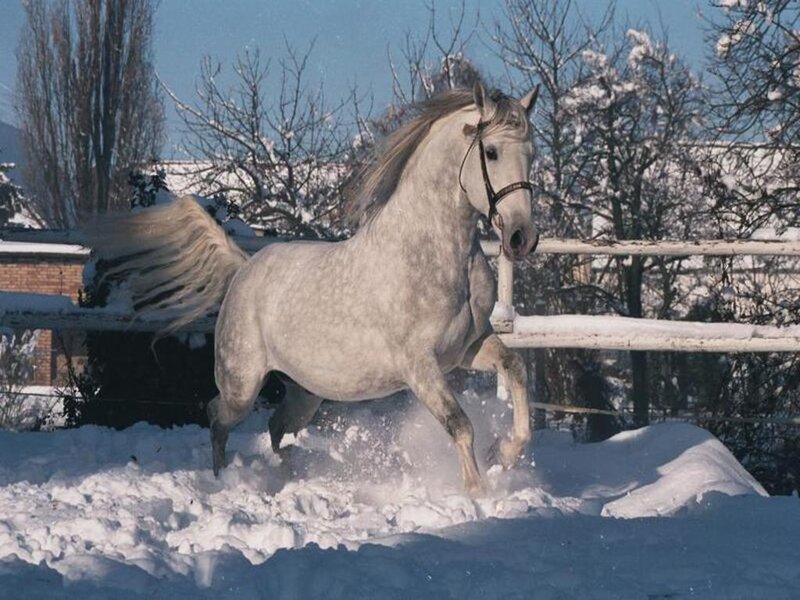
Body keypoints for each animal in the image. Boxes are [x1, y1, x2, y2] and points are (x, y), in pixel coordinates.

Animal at [93, 82, 540, 495]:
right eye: (491, 152)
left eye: (532, 154)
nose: (522, 238)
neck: (437, 257)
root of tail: (244, 267)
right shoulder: (420, 366)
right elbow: (459, 424)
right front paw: (477, 495)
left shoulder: (467, 348)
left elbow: (516, 370)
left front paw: (505, 453)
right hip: (242, 383)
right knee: (217, 415)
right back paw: (222, 481)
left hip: (304, 393)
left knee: (277, 428)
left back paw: (288, 477)